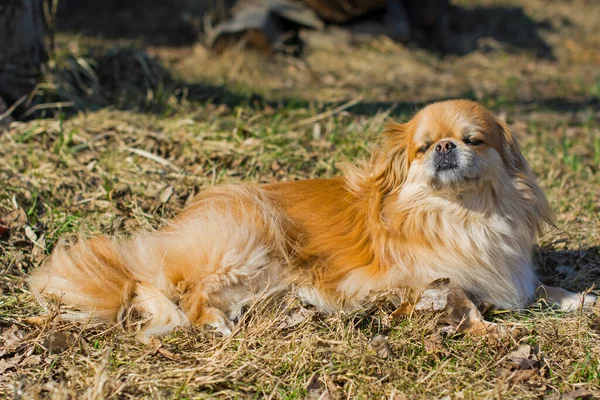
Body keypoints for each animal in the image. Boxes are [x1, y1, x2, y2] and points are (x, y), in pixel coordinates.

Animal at [30, 99, 596, 340]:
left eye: (473, 141)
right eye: (422, 148)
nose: (444, 148)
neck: (461, 213)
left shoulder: (510, 273)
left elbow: (542, 290)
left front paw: (580, 300)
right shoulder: (413, 281)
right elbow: (462, 300)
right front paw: (489, 332)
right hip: (247, 239)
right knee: (185, 292)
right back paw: (216, 325)